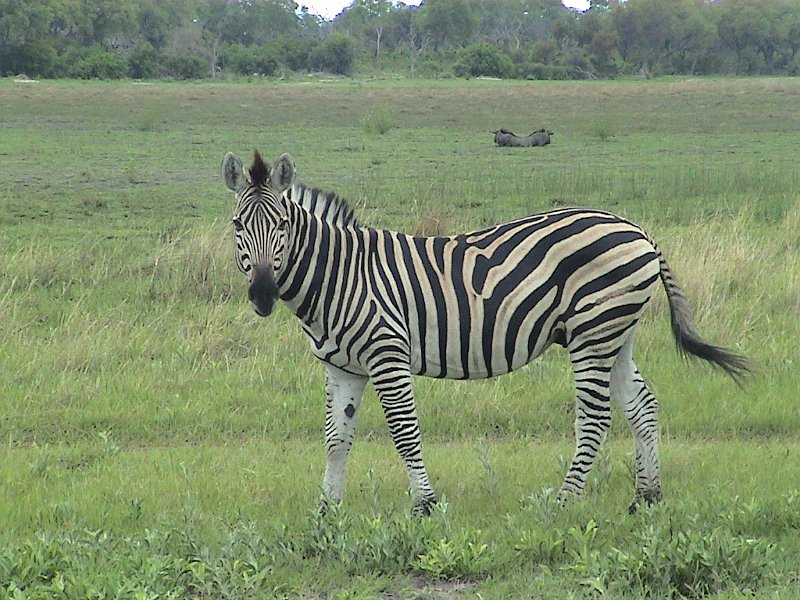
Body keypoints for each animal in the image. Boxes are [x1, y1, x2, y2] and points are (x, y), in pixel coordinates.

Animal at [221, 150, 749, 515]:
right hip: (616, 333)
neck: (341, 275)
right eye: (237, 225)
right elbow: (336, 438)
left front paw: (425, 506)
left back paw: (563, 502)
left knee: (596, 417)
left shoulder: (387, 354)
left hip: (592, 333)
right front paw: (327, 510)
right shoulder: (342, 367)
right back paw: (647, 496)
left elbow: (404, 432)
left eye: (282, 225)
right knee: (641, 406)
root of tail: (638, 230)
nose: (262, 294)